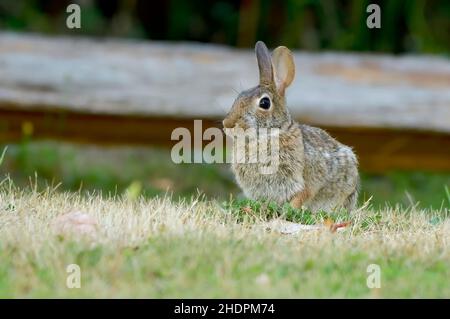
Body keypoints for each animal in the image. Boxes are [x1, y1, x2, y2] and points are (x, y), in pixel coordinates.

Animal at [223, 42, 360, 212]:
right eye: (239, 96)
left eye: (264, 103)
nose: (227, 124)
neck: (271, 134)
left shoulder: (306, 180)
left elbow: (303, 195)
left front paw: (290, 210)